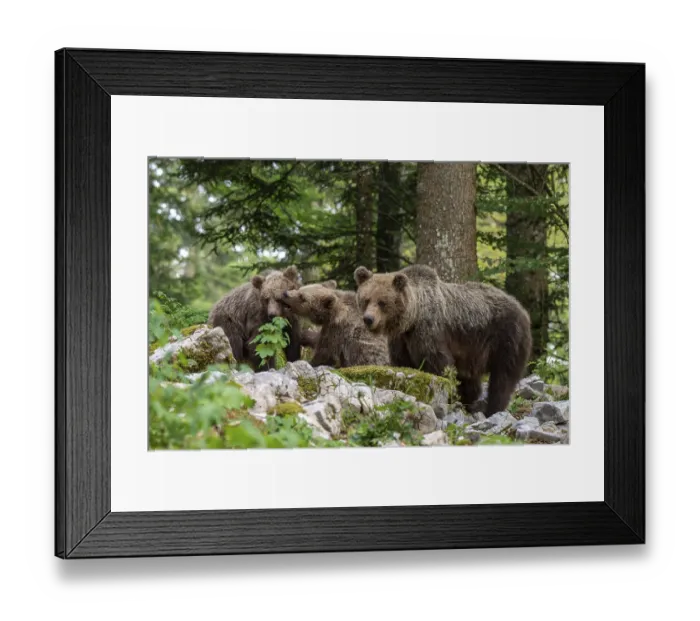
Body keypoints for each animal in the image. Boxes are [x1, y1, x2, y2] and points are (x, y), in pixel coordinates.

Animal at [354, 264, 532, 415]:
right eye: (366, 299)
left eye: (382, 302)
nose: (368, 319)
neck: (412, 319)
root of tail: (522, 308)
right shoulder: (401, 340)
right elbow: (402, 363)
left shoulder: (429, 332)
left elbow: (439, 365)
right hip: (473, 350)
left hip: (506, 337)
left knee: (503, 377)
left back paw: (493, 408)